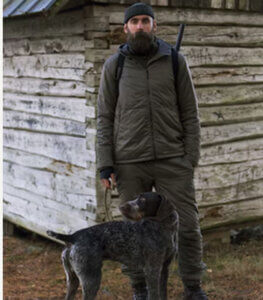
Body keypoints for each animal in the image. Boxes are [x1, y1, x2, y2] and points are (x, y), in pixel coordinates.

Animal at [47, 192, 179, 300]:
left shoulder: (164, 269)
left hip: (73, 280)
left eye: (142, 200)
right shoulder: (152, 270)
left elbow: (163, 293)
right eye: (137, 197)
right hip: (91, 279)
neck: (165, 228)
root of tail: (73, 236)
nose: (121, 206)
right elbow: (154, 294)